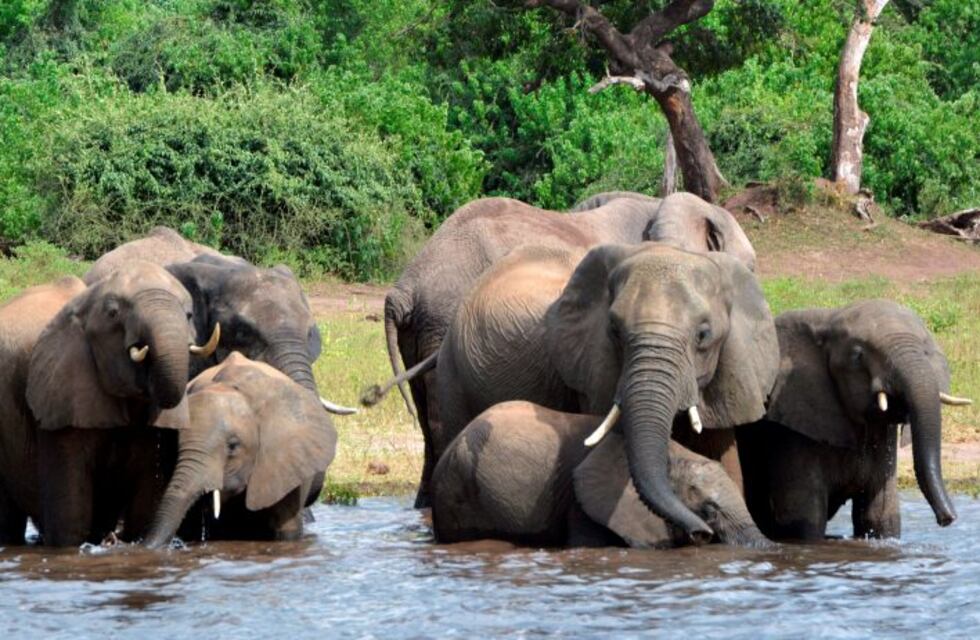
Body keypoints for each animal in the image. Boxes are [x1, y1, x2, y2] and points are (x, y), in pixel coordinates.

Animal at [736, 300, 966, 541]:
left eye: (926, 351)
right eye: (857, 356)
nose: (947, 520)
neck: (828, 318)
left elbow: (880, 516)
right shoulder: (790, 429)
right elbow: (804, 521)